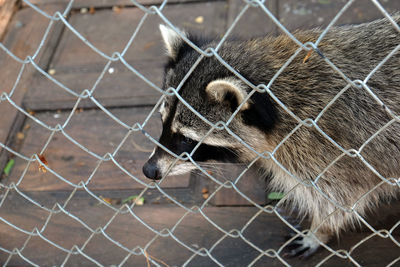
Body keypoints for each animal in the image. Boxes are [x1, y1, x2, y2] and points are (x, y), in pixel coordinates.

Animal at [142, 14, 398, 258]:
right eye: (163, 123)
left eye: (186, 139)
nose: (149, 170)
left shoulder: (326, 149)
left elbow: (339, 199)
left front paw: (319, 231)